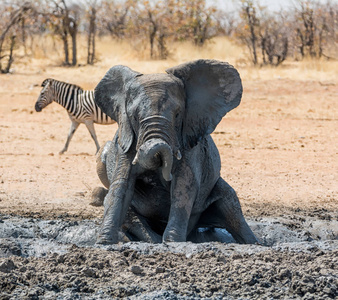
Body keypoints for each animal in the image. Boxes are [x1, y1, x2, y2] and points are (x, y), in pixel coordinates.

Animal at [91, 59, 258, 245]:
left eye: (178, 115)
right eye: (134, 117)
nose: (164, 171)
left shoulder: (190, 142)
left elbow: (183, 185)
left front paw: (173, 242)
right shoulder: (126, 141)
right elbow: (122, 185)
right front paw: (103, 242)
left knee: (231, 205)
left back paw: (255, 243)